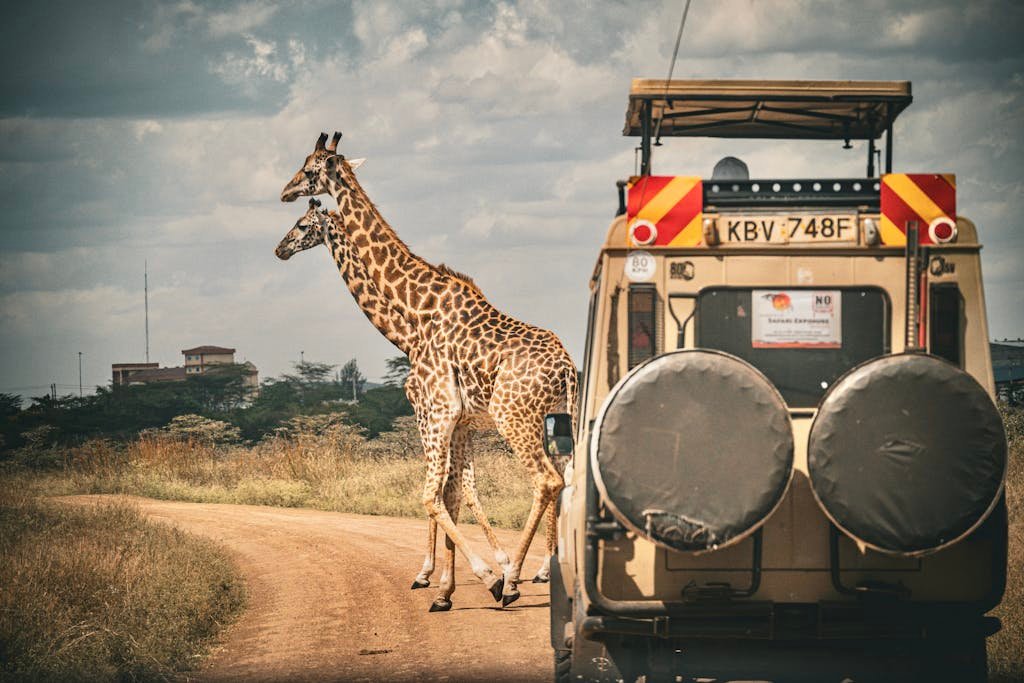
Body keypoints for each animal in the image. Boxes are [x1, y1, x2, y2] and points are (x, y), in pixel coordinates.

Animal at [272, 198, 516, 602]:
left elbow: (442, 490)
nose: (280, 249)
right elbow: (458, 490)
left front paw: (436, 574)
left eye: (303, 225)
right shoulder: (455, 422)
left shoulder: (425, 411)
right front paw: (474, 572)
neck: (407, 335)